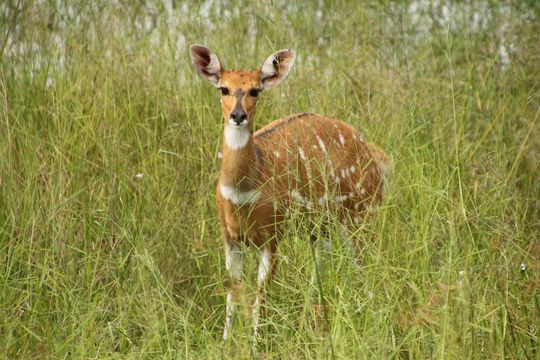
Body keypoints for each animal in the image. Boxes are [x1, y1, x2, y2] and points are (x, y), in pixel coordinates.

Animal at [190, 43, 392, 338]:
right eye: (223, 89)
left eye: (255, 90)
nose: (237, 116)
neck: (243, 192)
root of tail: (377, 157)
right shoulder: (229, 236)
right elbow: (232, 291)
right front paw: (226, 342)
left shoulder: (273, 232)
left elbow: (261, 295)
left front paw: (256, 342)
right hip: (321, 223)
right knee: (321, 262)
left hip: (361, 212)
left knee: (369, 264)